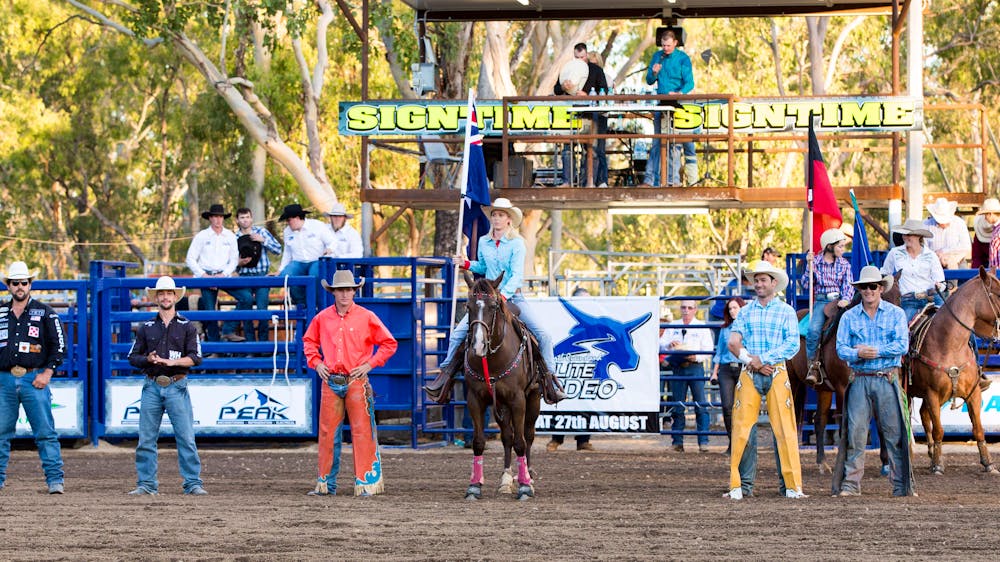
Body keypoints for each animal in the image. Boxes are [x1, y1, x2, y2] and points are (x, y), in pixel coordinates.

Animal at [458, 270, 540, 498]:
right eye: (468, 306)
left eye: (493, 306)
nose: (477, 345)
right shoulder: (475, 399)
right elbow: (479, 441)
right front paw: (474, 486)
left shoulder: (518, 400)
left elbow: (521, 442)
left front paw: (524, 486)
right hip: (501, 406)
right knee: (507, 437)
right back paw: (506, 479)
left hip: (534, 399)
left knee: (528, 435)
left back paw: (528, 477)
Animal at [908, 266, 1000, 472]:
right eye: (999, 293)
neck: (950, 344)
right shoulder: (932, 394)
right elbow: (939, 430)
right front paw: (937, 465)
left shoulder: (973, 394)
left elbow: (978, 429)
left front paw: (988, 463)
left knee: (923, 415)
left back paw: (930, 451)